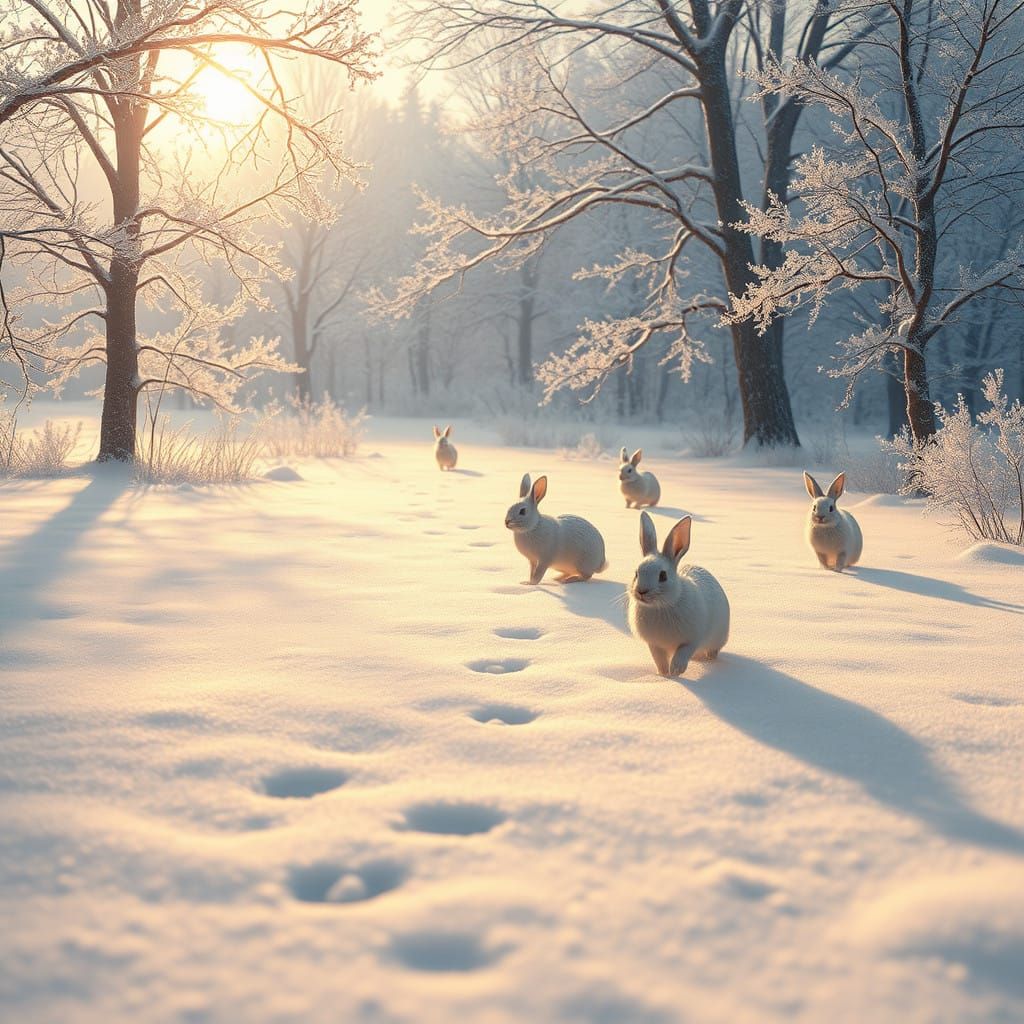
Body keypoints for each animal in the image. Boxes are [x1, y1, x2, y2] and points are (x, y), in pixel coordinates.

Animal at [627, 511, 730, 677]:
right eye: (636, 573)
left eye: (663, 576)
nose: (641, 591)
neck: (662, 605)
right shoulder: (654, 645)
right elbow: (659, 660)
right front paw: (664, 675)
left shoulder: (691, 640)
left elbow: (682, 653)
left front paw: (676, 671)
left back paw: (710, 660)